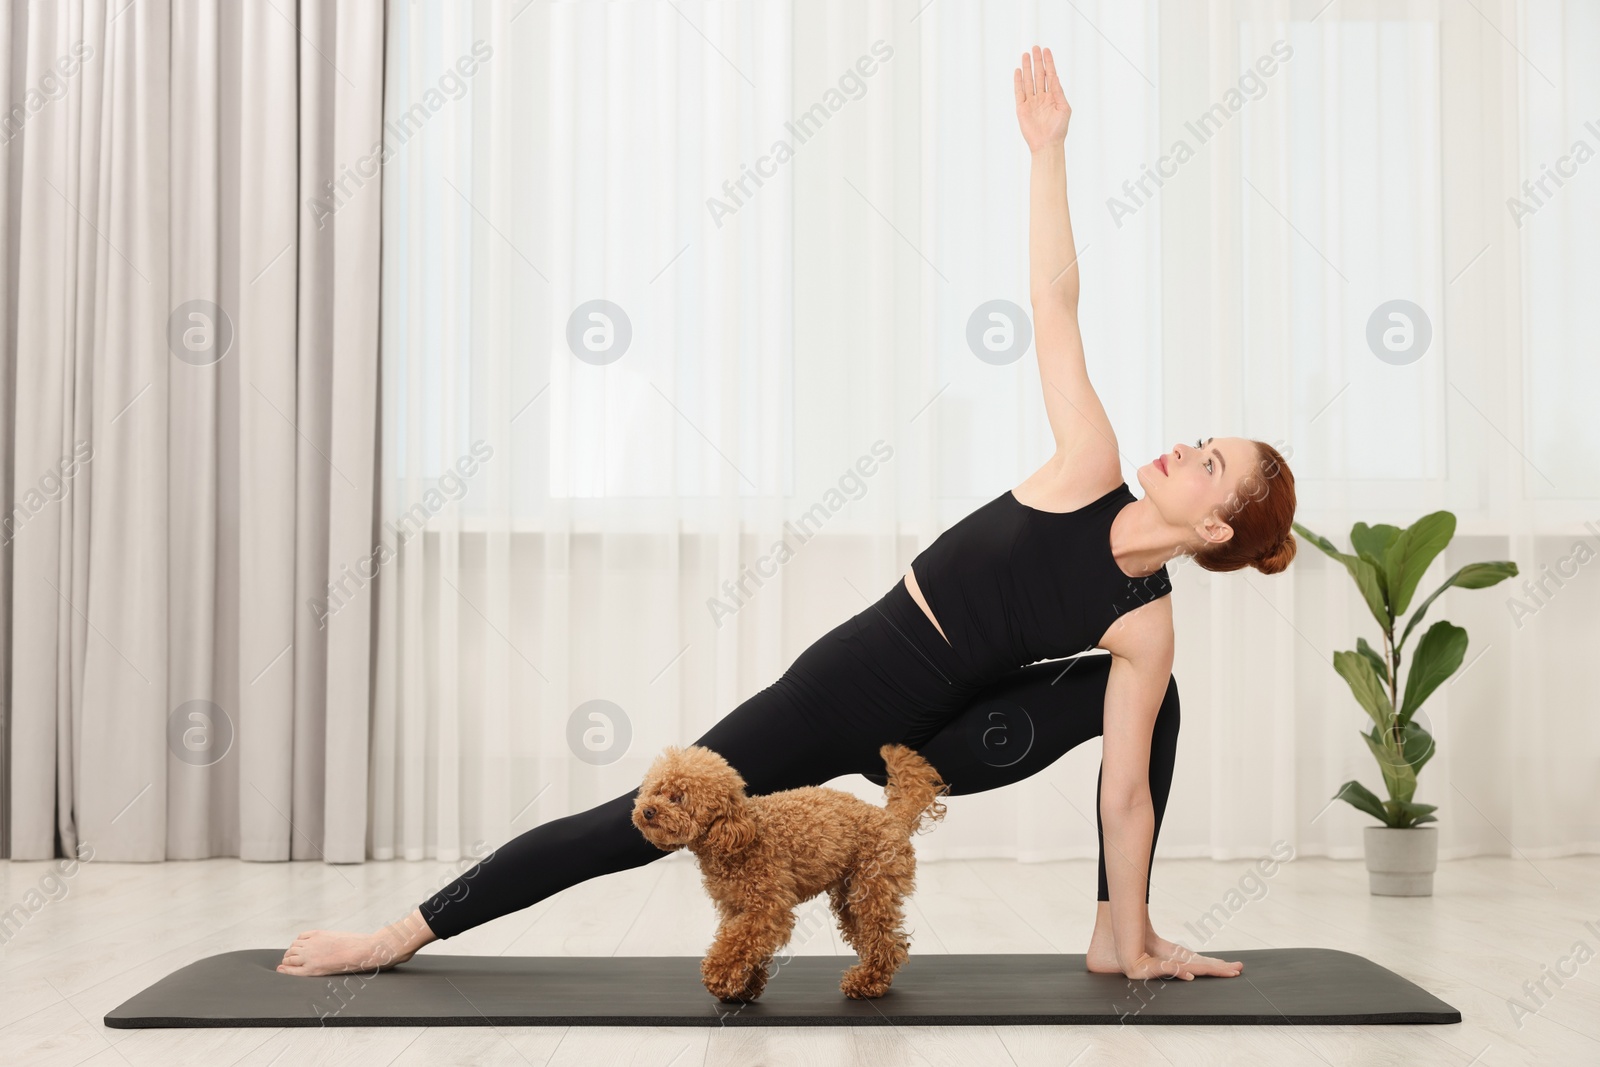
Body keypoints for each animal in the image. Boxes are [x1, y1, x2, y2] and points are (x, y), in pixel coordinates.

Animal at [627, 742, 947, 1004]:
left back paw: (867, 983)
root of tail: (892, 819)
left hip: (873, 888)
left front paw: (719, 977)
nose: (647, 811)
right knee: (878, 939)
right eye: (656, 791)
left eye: (678, 797)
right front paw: (744, 987)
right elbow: (744, 941)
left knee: (887, 941)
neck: (737, 835)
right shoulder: (735, 907)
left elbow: (737, 942)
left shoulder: (768, 906)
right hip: (849, 895)